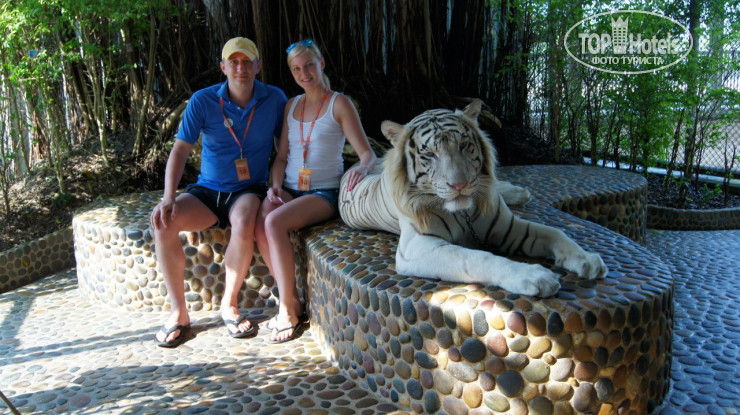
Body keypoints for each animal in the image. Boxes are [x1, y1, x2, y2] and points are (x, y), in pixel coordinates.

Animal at [338, 99, 607, 297]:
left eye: (464, 145)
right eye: (430, 154)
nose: (459, 184)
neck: (464, 213)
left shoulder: (510, 227)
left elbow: (556, 232)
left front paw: (587, 259)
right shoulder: (417, 245)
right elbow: (474, 257)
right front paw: (534, 276)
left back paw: (519, 192)